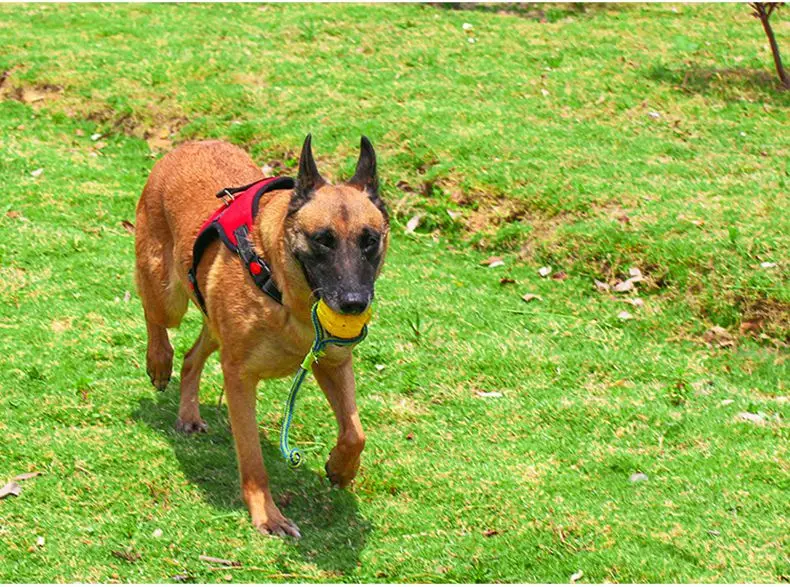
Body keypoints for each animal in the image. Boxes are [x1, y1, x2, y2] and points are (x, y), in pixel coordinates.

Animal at [135, 137, 392, 536]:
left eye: (370, 241)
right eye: (323, 240)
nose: (354, 303)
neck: (286, 293)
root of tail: (192, 143)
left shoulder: (333, 363)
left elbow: (355, 433)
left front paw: (340, 468)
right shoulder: (240, 378)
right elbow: (253, 458)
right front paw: (268, 516)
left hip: (212, 320)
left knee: (192, 357)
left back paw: (188, 412)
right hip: (168, 294)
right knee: (155, 315)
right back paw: (159, 361)